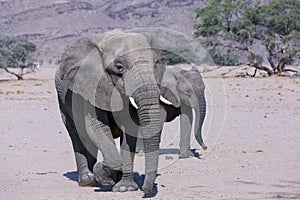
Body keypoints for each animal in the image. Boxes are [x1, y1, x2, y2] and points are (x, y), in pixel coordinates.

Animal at [55, 29, 165, 194]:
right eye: (119, 67)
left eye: (156, 64)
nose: (145, 190)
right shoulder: (91, 86)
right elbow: (96, 126)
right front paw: (103, 174)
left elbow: (130, 130)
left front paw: (124, 187)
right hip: (63, 101)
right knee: (76, 134)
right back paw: (87, 180)